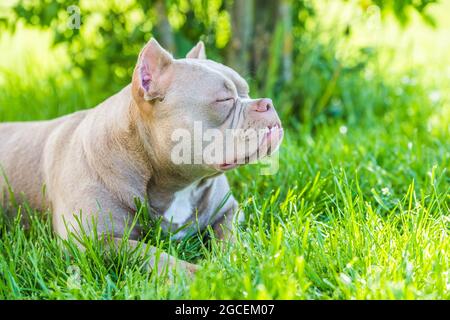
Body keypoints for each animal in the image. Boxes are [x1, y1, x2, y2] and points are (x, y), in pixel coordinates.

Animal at [0, 38, 282, 276]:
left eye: (247, 92)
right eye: (224, 100)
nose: (267, 103)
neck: (175, 184)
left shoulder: (228, 210)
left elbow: (230, 236)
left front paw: (236, 260)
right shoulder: (90, 242)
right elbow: (147, 252)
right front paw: (195, 274)